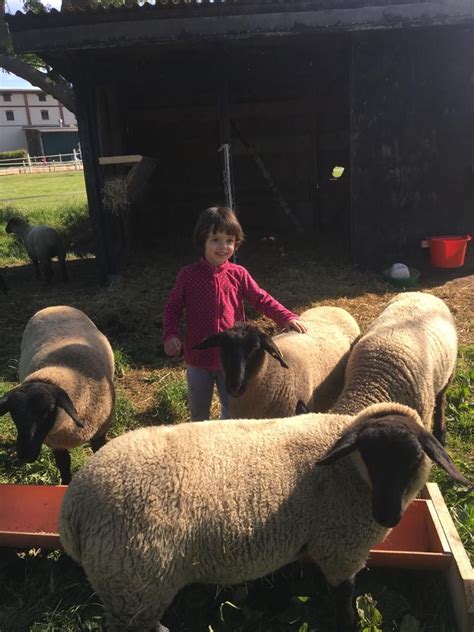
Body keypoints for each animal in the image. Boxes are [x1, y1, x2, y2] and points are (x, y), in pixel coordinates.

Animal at [0, 304, 115, 482]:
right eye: (14, 414)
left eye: (47, 411)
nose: (26, 456)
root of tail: (54, 306)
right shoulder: (57, 443)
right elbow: (64, 466)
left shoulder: (100, 433)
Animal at [57, 402, 468, 628]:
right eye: (370, 456)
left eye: (414, 460)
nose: (387, 516)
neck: (347, 472)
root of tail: (75, 506)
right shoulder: (340, 551)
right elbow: (344, 605)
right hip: (134, 585)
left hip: (127, 587)